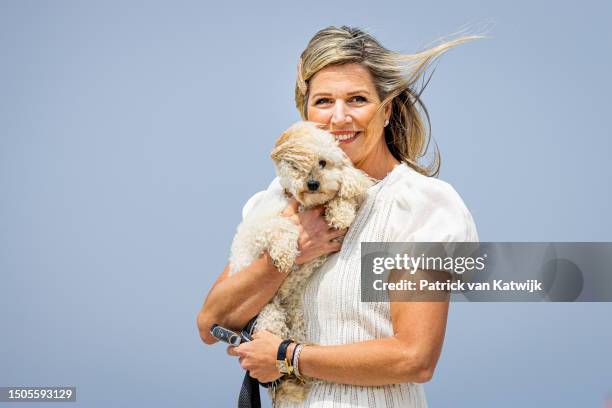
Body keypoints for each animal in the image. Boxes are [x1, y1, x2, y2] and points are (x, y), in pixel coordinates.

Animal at [228, 121, 372, 402]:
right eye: (295, 166)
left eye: (323, 162)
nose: (313, 183)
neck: (306, 207)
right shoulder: (259, 228)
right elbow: (282, 227)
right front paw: (285, 256)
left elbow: (343, 195)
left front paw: (340, 212)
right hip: (269, 314)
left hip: (295, 315)